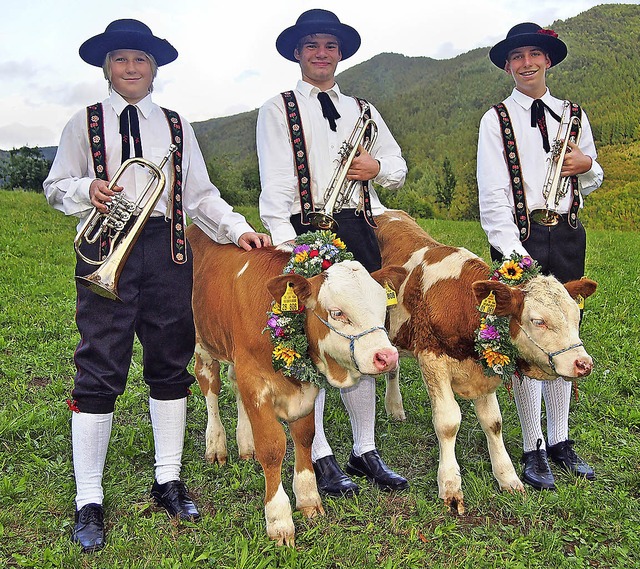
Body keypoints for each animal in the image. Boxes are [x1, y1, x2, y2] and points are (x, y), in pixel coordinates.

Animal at [186, 224, 404, 544]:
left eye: (382, 307)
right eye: (337, 313)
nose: (387, 357)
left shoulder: (303, 389)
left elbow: (305, 437)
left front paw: (308, 499)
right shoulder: (255, 380)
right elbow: (272, 447)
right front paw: (279, 520)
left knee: (234, 387)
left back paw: (245, 442)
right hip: (202, 343)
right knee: (210, 388)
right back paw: (216, 445)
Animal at [372, 210, 596, 516]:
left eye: (576, 316)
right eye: (538, 321)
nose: (582, 363)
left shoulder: (485, 373)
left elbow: (493, 422)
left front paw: (507, 477)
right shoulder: (432, 361)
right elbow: (448, 423)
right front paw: (450, 486)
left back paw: (394, 408)